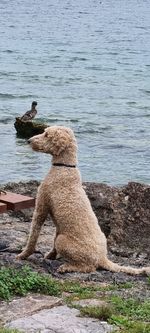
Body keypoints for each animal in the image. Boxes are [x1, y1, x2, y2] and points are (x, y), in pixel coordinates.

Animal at [17, 126, 150, 274]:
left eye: (46, 135)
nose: (28, 141)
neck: (64, 167)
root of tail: (102, 258)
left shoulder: (41, 206)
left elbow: (33, 235)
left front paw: (23, 255)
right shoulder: (58, 224)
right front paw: (51, 255)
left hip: (64, 241)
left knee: (88, 267)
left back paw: (66, 267)